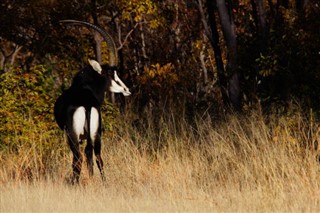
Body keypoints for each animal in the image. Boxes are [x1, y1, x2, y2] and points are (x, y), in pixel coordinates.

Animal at [54, 19, 131, 184]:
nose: (127, 89)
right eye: (112, 75)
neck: (85, 86)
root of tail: (87, 105)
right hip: (97, 134)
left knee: (78, 158)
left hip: (73, 136)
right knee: (96, 156)